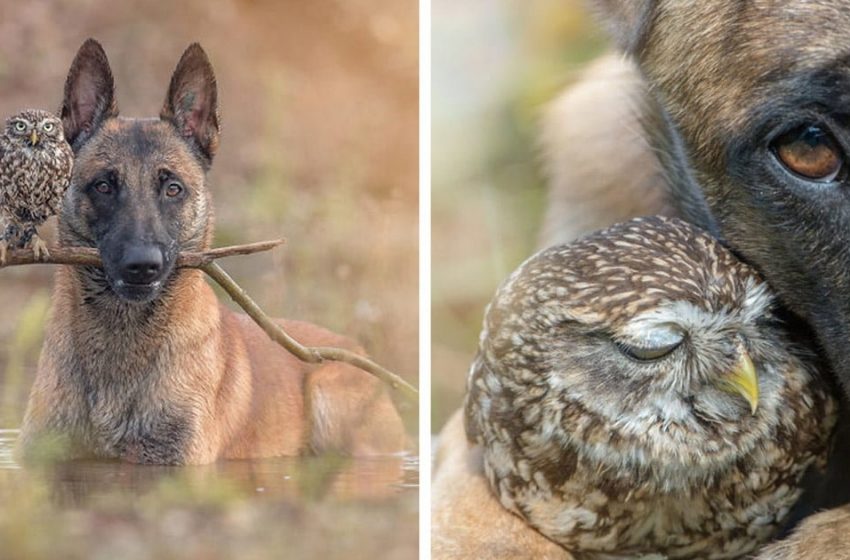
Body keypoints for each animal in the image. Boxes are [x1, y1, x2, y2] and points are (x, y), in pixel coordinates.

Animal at [15, 39, 408, 466]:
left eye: (173, 188)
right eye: (103, 186)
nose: (142, 266)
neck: (121, 340)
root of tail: (354, 347)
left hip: (329, 394)